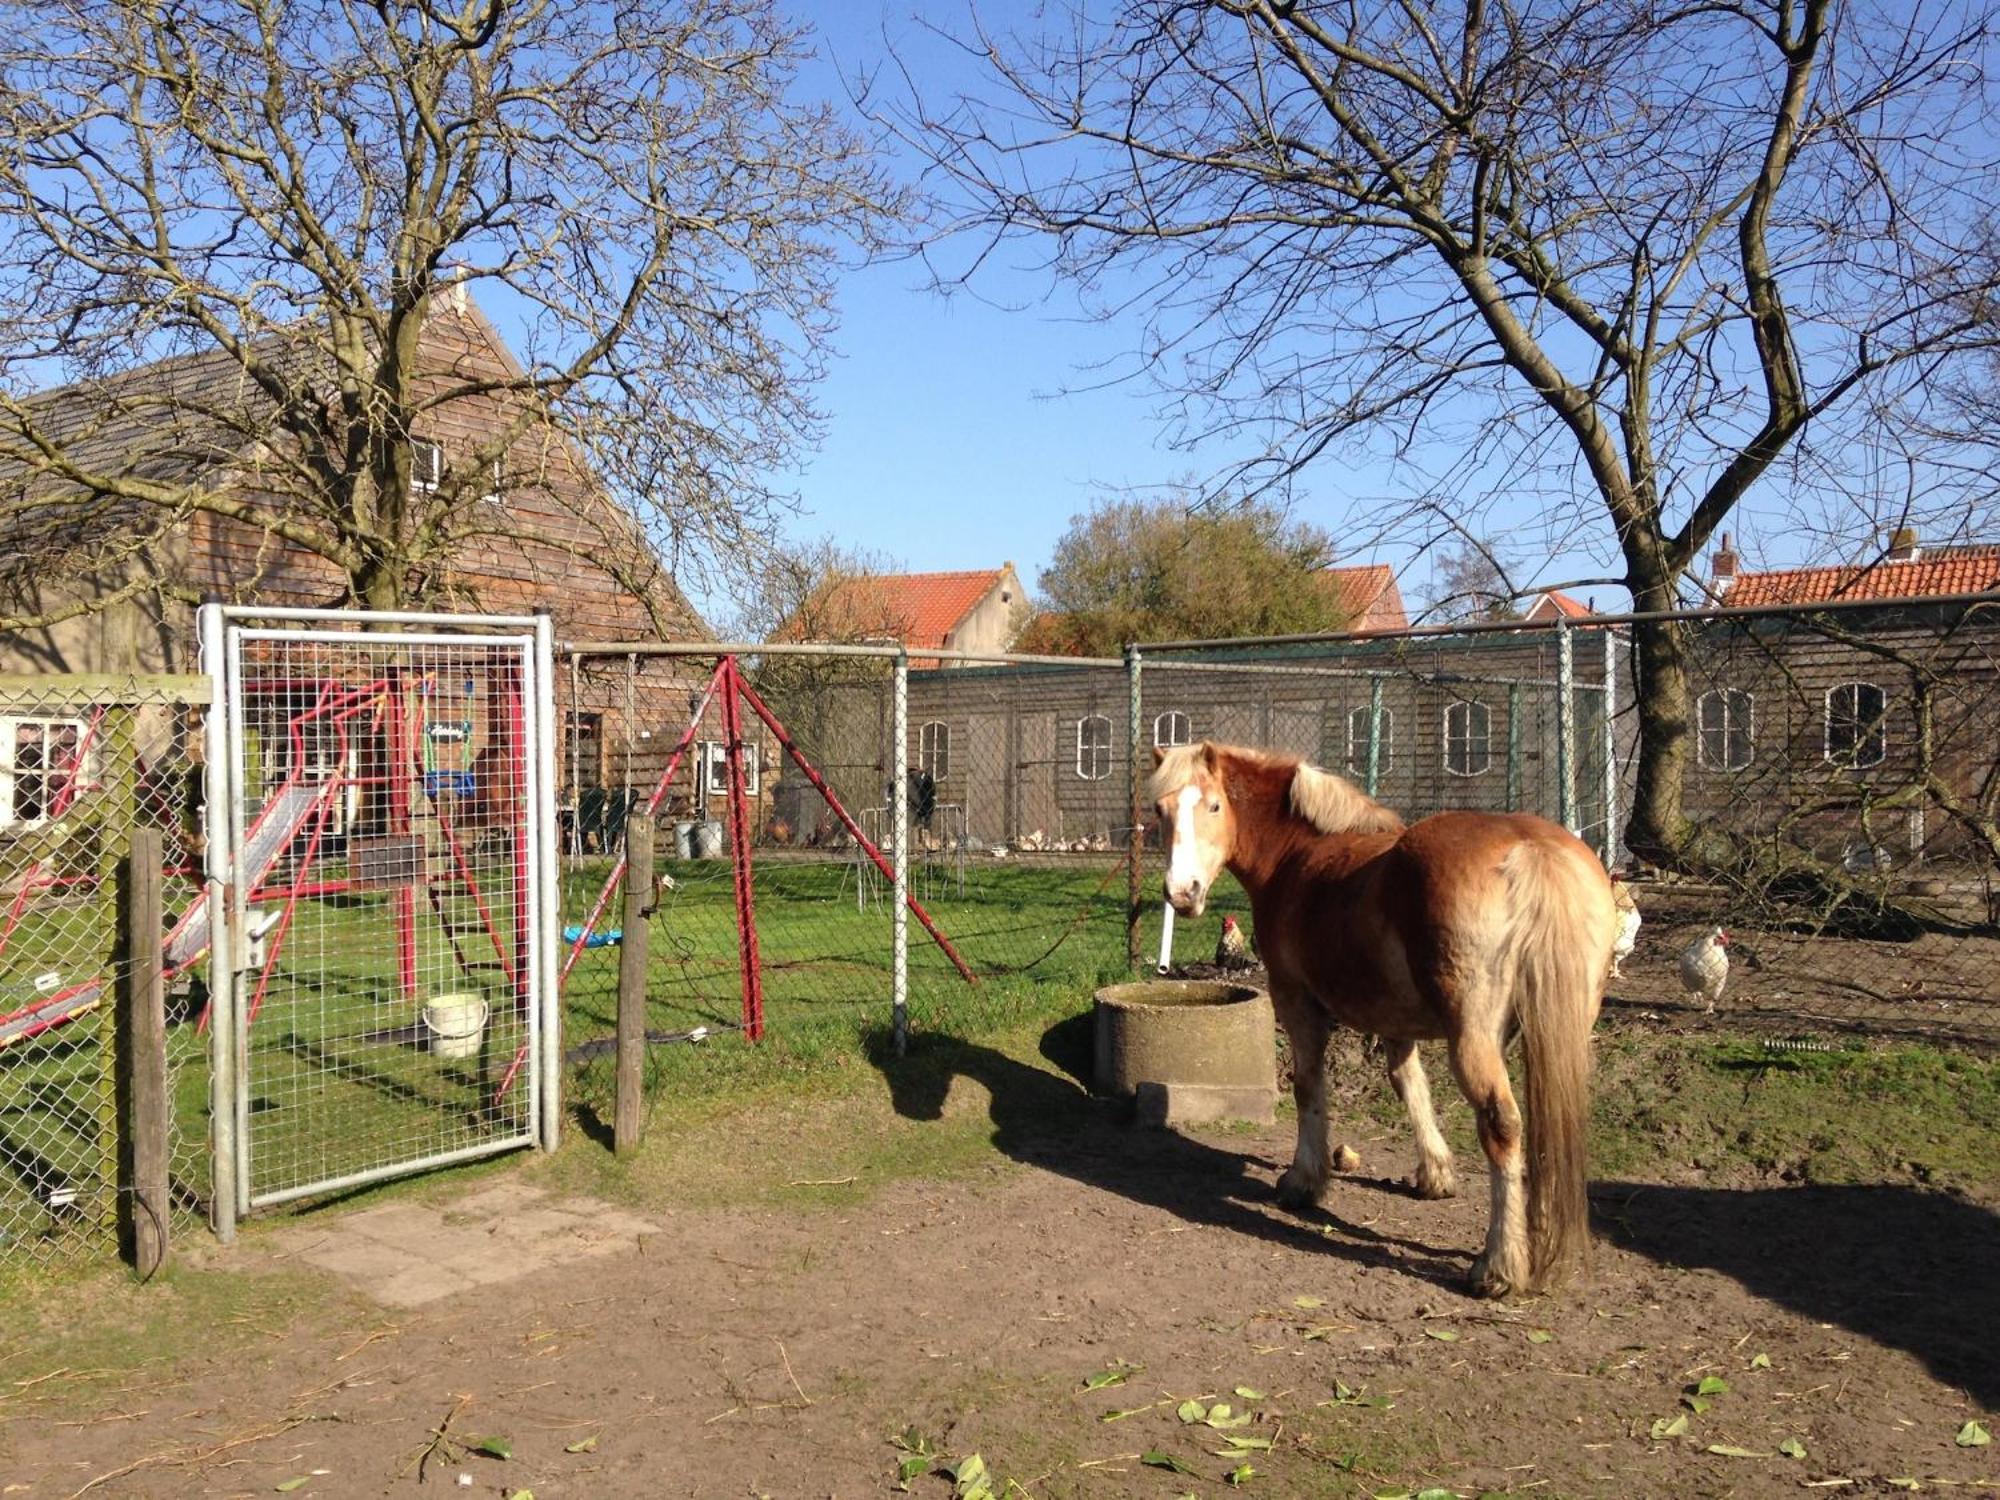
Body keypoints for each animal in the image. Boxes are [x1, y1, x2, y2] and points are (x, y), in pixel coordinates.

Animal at [1152, 748, 1616, 1296]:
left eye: (1215, 806)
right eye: (1160, 809)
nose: (1182, 893)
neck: (1300, 854)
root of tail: (1530, 849)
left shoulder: (1295, 1001)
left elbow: (1309, 1087)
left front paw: (1303, 1181)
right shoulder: (1397, 1023)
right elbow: (1410, 1085)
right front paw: (1435, 1175)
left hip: (1473, 1038)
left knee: (1501, 1124)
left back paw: (1498, 1266)